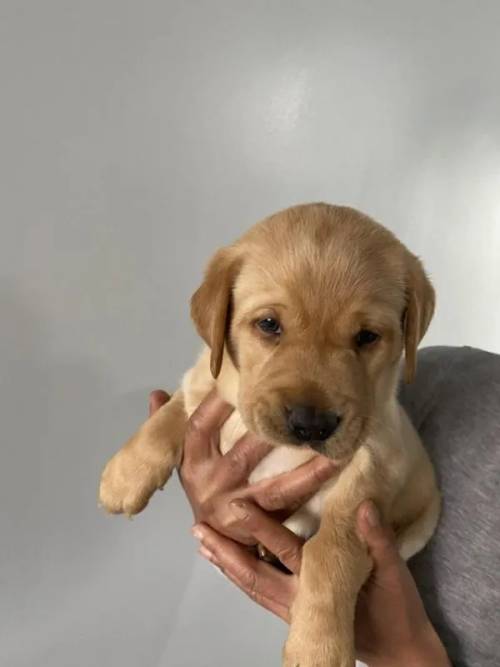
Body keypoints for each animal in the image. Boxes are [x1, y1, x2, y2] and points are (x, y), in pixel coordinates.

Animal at [99, 204, 440, 667]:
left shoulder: (373, 463)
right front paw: (123, 476)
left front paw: (317, 646)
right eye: (268, 324)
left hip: (421, 523)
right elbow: (172, 413)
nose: (310, 424)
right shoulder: (206, 383)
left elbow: (332, 551)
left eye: (367, 337)